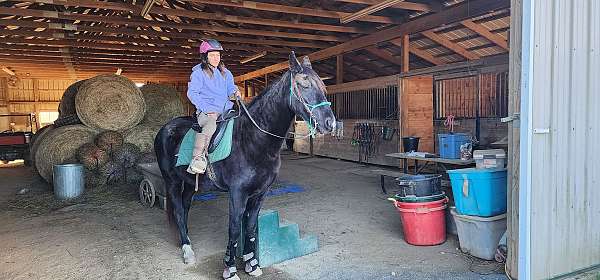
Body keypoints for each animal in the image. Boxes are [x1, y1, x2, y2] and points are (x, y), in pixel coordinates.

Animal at [155, 51, 336, 278]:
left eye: (322, 85)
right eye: (304, 85)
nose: (330, 123)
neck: (253, 139)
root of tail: (165, 129)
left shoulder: (259, 194)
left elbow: (250, 227)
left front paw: (252, 264)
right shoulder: (237, 193)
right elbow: (234, 228)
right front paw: (230, 269)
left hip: (189, 183)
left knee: (185, 207)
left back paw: (186, 239)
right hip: (171, 181)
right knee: (179, 211)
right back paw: (187, 250)